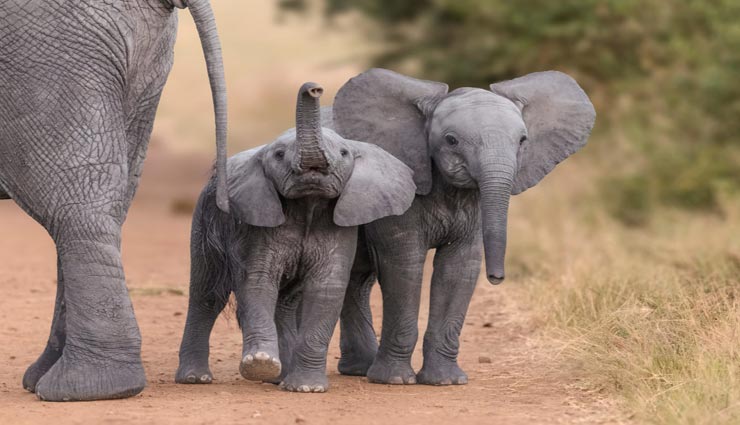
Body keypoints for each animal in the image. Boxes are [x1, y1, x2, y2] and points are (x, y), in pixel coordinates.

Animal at [175, 83, 416, 392]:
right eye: (278, 155)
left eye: (344, 153)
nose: (314, 88)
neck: (308, 204)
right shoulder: (260, 224)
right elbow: (258, 281)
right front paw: (260, 363)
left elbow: (325, 289)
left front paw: (306, 388)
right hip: (205, 219)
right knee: (207, 294)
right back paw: (196, 378)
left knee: (285, 302)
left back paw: (282, 377)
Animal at [328, 68, 595, 385]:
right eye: (451, 140)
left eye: (522, 140)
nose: (497, 277)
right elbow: (404, 265)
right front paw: (395, 381)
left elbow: (457, 268)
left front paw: (445, 381)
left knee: (358, 279)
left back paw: (359, 369)